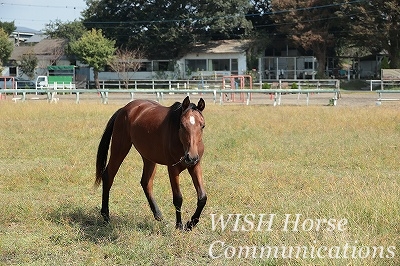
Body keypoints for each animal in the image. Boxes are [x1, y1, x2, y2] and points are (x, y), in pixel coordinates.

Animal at [94, 96, 206, 231]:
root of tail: (124, 109)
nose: (191, 157)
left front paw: (190, 224)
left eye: (202, 126)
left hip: (149, 157)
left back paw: (158, 215)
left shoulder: (195, 166)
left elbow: (202, 197)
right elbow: (178, 198)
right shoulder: (172, 169)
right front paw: (179, 226)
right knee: (108, 176)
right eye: (182, 125)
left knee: (145, 182)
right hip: (119, 149)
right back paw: (106, 216)